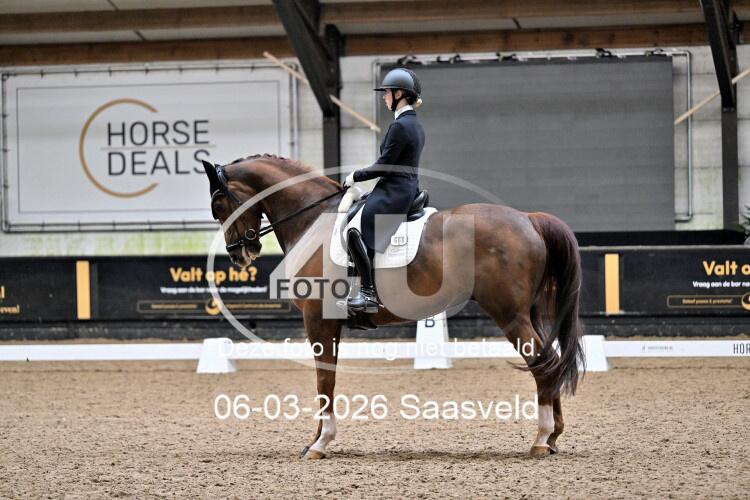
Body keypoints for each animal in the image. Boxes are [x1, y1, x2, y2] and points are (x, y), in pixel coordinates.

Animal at [203, 154, 584, 460]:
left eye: (219, 205)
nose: (239, 255)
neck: (313, 220)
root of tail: (529, 218)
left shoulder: (317, 319)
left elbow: (324, 379)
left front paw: (320, 444)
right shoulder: (329, 323)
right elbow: (326, 379)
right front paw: (314, 440)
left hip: (509, 314)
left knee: (542, 365)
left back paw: (540, 439)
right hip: (526, 312)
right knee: (549, 361)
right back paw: (553, 437)